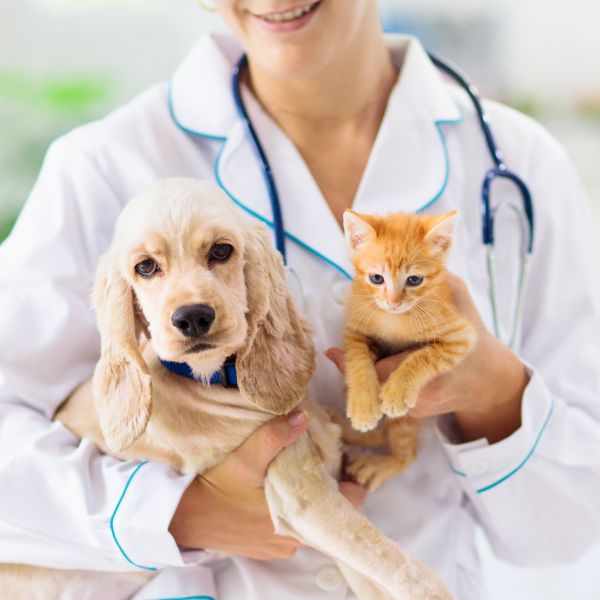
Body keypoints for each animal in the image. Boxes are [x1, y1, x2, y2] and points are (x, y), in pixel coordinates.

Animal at [340, 209, 476, 490]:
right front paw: (363, 405)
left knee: (406, 453)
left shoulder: (461, 335)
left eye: (414, 280)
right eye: (376, 278)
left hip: (407, 421)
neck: (394, 320)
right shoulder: (355, 329)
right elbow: (357, 361)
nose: (393, 303)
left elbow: (424, 356)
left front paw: (397, 391)